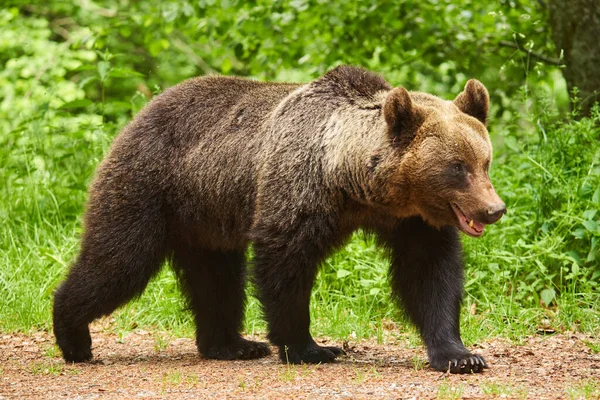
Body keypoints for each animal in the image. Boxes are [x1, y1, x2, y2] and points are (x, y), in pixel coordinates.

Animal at [54, 66, 506, 376]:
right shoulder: (296, 192)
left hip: (206, 217)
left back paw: (232, 344)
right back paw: (73, 336)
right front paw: (309, 347)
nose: (494, 209)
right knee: (118, 260)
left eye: (484, 161)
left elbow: (429, 276)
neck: (352, 182)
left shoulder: (412, 222)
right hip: (149, 187)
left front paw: (461, 355)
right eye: (456, 167)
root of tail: (140, 111)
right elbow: (285, 265)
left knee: (216, 279)